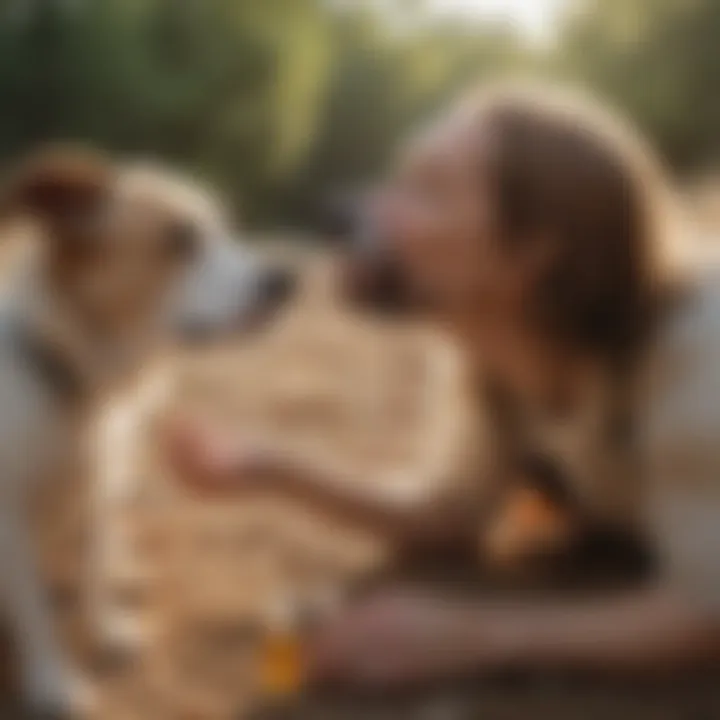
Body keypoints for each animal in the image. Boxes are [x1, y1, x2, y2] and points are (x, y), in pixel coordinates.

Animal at [0, 146, 296, 716]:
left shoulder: (98, 485)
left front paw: (105, 628)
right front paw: (52, 679)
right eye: (180, 238)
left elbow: (94, 567)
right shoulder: (10, 518)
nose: (286, 280)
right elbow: (33, 610)